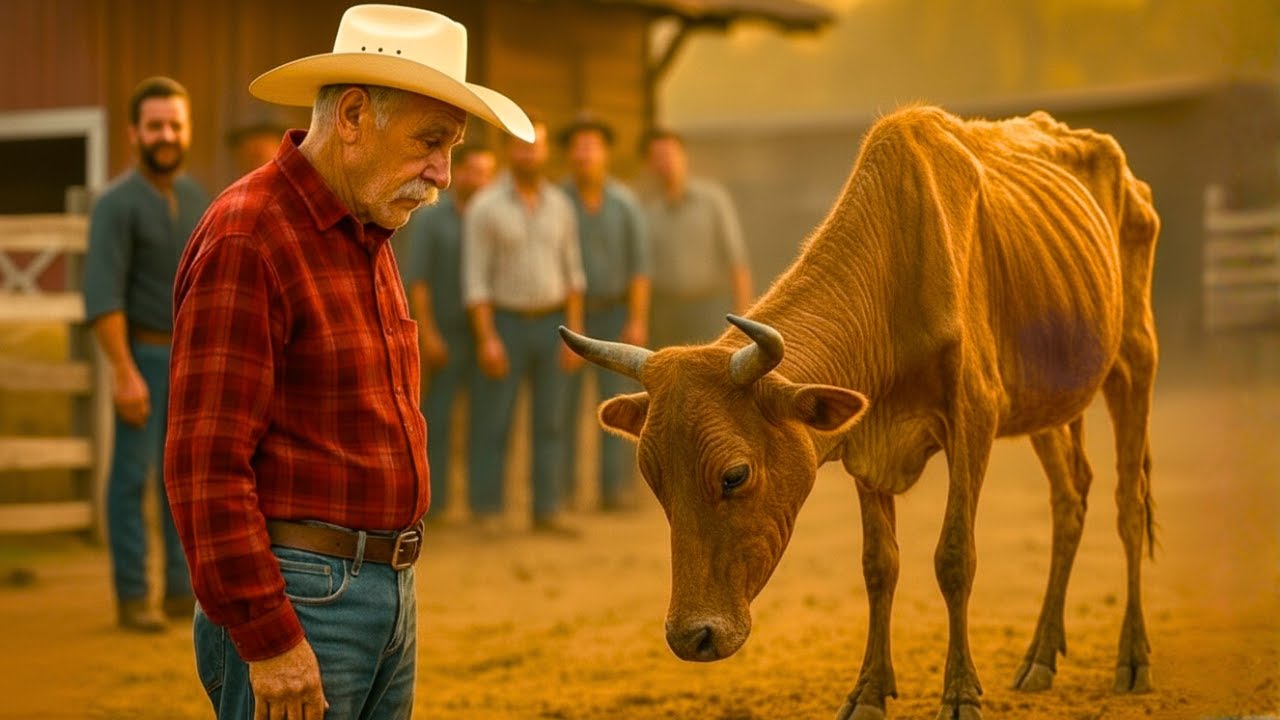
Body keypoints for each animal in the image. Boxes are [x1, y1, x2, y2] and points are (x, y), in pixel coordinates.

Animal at [559, 105, 1159, 720]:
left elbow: (954, 558)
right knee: (1070, 499)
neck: (899, 280)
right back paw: (1041, 654)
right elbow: (879, 565)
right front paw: (869, 690)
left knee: (1128, 503)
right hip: (1050, 403)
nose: (692, 636)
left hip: (1134, 359)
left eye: (735, 475)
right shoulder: (866, 446)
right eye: (652, 477)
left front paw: (960, 692)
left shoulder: (973, 421)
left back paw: (1132, 658)